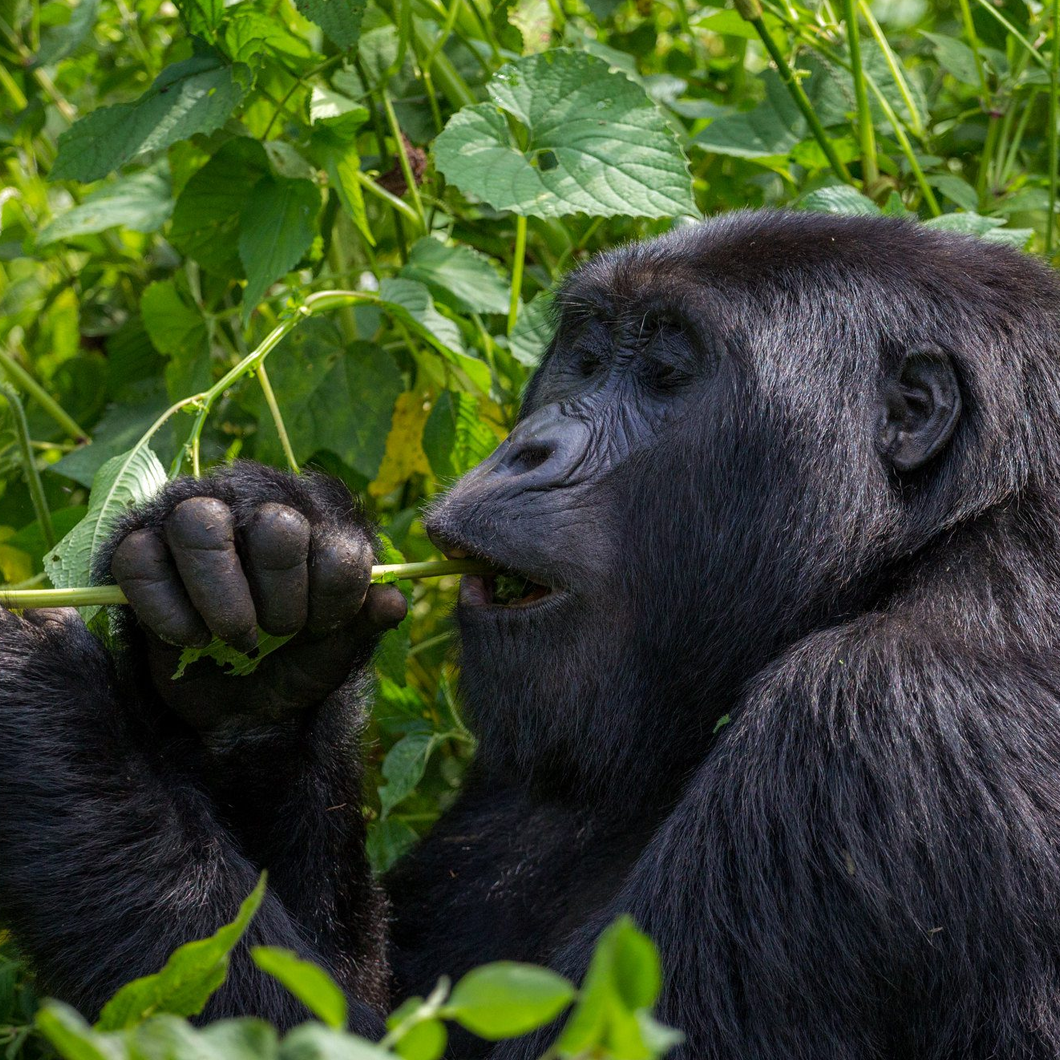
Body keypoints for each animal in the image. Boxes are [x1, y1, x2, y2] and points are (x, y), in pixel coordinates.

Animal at [0, 208, 1060, 1060]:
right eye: (584, 359)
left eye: (668, 375)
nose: (528, 449)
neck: (938, 533)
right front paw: (259, 612)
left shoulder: (884, 723)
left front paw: (42, 711)